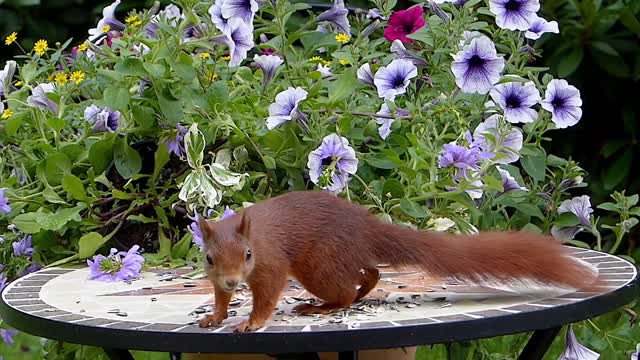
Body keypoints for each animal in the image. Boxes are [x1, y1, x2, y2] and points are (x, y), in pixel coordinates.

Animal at [196, 190, 600, 334]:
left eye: (249, 254)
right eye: (209, 258)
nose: (233, 280)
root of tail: (365, 226)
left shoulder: (271, 265)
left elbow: (266, 297)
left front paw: (251, 322)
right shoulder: (218, 280)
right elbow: (220, 299)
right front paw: (215, 316)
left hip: (318, 267)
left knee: (344, 290)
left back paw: (321, 307)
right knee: (370, 272)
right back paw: (362, 291)